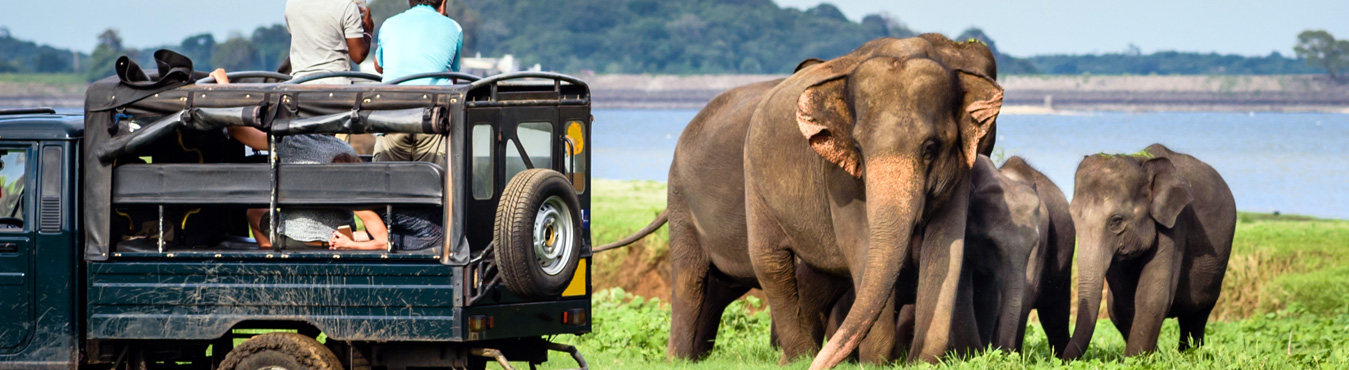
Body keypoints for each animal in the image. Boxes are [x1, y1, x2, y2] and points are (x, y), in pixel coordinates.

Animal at [744, 41, 1009, 367]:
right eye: (858, 147)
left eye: (930, 147)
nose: (822, 364)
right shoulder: (839, 177)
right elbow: (861, 244)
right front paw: (875, 362)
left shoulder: (960, 170)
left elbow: (946, 247)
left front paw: (920, 361)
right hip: (754, 181)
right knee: (770, 262)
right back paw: (799, 359)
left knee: (817, 277)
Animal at [1057, 143, 1235, 359]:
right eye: (1073, 217)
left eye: (1116, 221)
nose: (1060, 359)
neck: (1141, 162)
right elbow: (1121, 303)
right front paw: (1148, 357)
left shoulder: (1174, 223)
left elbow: (1152, 295)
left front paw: (1134, 360)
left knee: (1197, 316)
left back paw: (1190, 355)